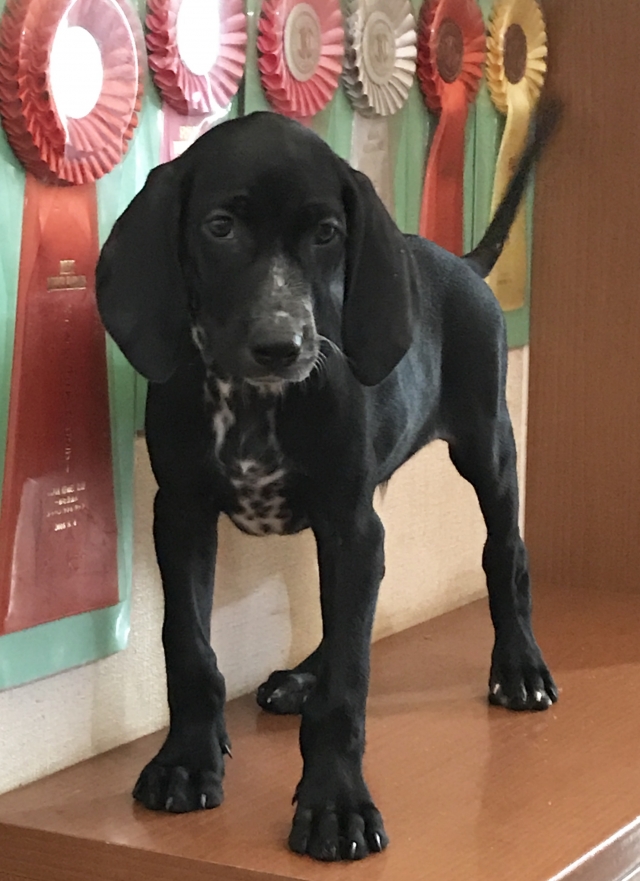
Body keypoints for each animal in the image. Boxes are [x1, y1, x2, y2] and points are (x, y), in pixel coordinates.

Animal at [96, 103, 559, 862]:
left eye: (326, 233)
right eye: (219, 227)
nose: (281, 346)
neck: (254, 401)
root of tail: (460, 263)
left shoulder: (349, 522)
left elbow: (350, 680)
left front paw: (335, 802)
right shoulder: (184, 513)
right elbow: (189, 646)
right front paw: (188, 759)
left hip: (488, 444)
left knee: (505, 553)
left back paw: (520, 666)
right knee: (355, 606)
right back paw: (301, 676)